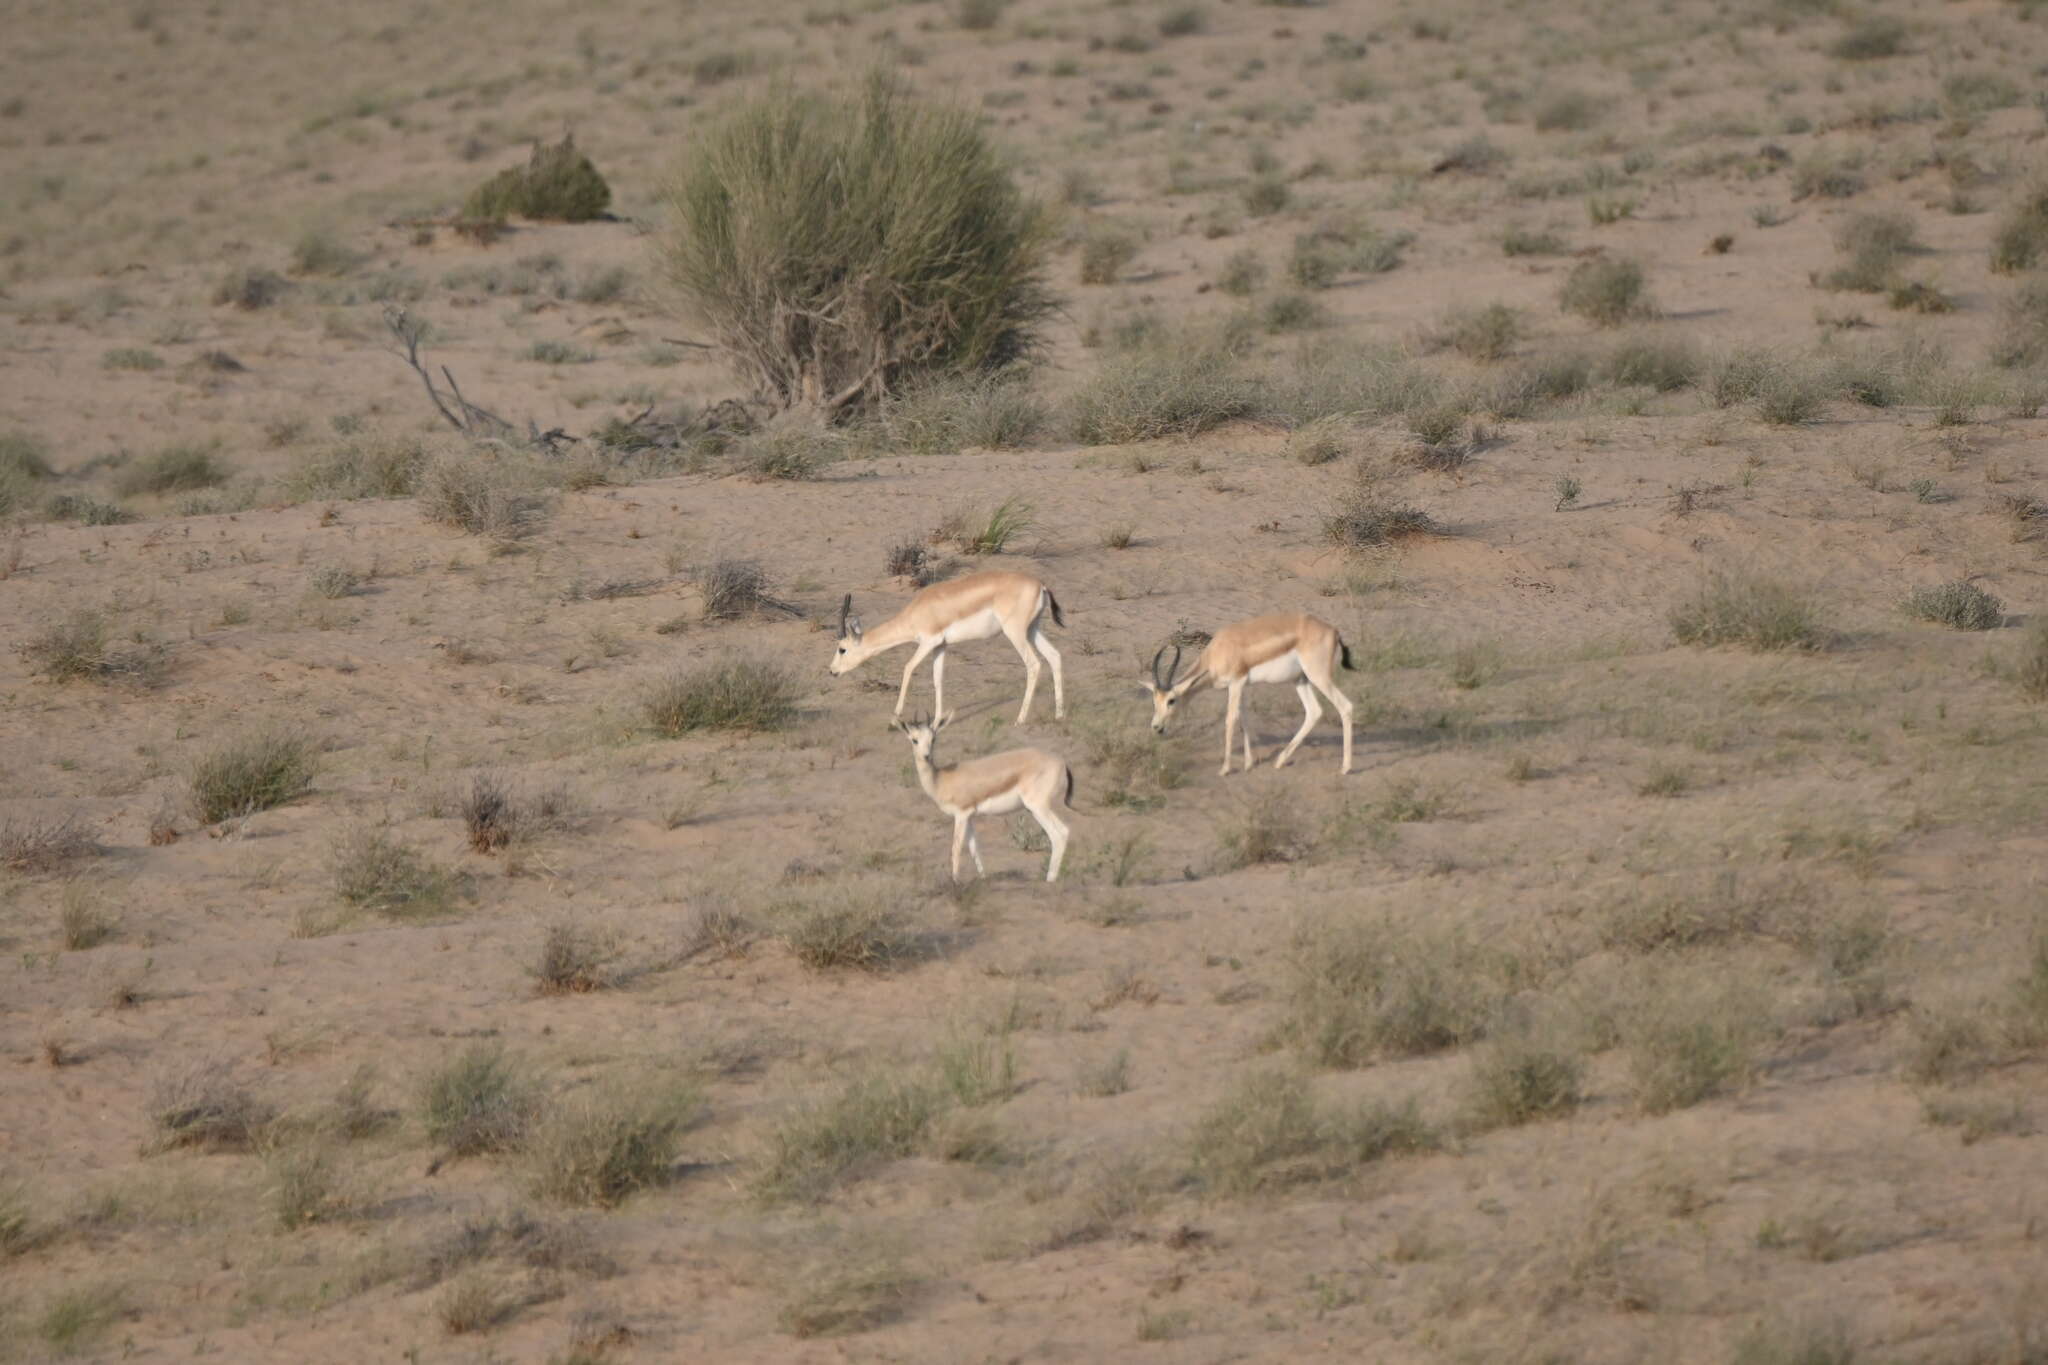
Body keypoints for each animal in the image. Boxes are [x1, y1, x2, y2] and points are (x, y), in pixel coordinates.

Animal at [901, 716, 1081, 888]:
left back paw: (1050, 880)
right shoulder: (969, 817)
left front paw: (955, 882)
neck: (940, 779)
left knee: (1059, 834)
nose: (926, 756)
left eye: (933, 739)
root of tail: (1062, 762)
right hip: (1035, 809)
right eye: (914, 739)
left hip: (1037, 807)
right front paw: (983, 878)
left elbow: (956, 848)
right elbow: (974, 848)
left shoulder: (961, 815)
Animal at [1155, 613, 1359, 773]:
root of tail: (1333, 631)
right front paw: (1248, 764)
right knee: (1314, 711)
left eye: (1171, 700)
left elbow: (1231, 719)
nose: (1156, 727)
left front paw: (1225, 769)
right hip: (1301, 680)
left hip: (1318, 677)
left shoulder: (1236, 683)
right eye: (1155, 702)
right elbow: (1244, 718)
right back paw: (1279, 761)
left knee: (1345, 706)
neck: (1218, 650)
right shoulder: (1243, 685)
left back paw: (1345, 768)